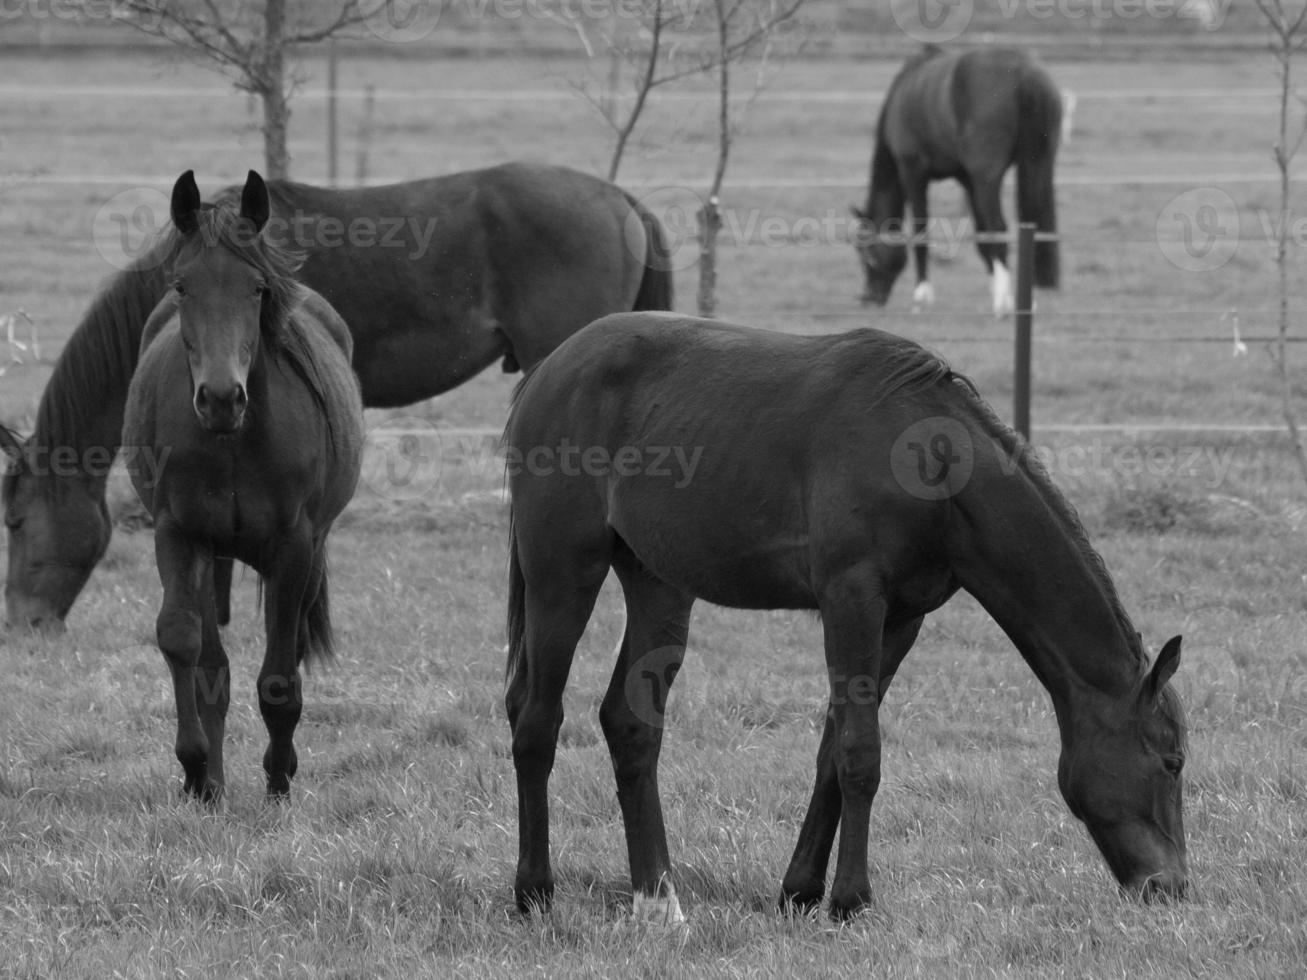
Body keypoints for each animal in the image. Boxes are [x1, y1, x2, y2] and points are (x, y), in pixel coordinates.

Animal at [121, 171, 363, 804]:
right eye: (182, 286)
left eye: (256, 289)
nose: (221, 397)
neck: (233, 442)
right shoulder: (179, 534)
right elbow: (185, 644)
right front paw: (197, 771)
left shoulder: (294, 546)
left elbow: (279, 673)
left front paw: (279, 779)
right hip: (213, 553)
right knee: (213, 662)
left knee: (291, 646)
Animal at [504, 312, 1191, 919]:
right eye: (1172, 762)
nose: (1172, 887)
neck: (932, 460)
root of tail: (545, 371)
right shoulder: (851, 600)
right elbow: (861, 753)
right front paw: (851, 899)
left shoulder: (899, 621)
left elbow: (832, 753)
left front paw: (802, 891)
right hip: (562, 576)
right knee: (537, 720)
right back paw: (535, 892)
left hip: (658, 587)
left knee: (631, 725)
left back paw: (658, 899)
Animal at [852, 46, 1066, 316]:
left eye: (864, 251)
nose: (868, 299)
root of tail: (1023, 72)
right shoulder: (967, 180)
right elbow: (981, 235)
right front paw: (999, 290)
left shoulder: (913, 173)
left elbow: (921, 231)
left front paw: (922, 295)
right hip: (1037, 164)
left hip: (987, 177)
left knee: (998, 227)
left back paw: (1003, 305)